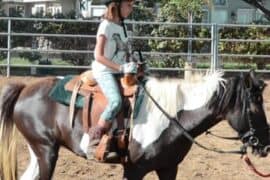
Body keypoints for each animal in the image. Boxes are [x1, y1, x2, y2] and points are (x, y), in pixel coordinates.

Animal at [0, 69, 268, 179]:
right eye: (255, 106)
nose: (265, 146)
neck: (172, 117)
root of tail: (25, 89)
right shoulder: (134, 169)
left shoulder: (168, 168)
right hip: (46, 151)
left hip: (39, 151)